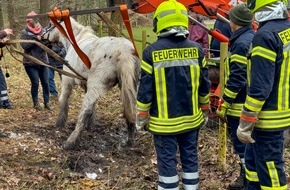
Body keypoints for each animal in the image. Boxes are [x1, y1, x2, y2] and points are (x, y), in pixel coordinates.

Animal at [43, 17, 141, 150]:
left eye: (49, 25)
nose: (41, 35)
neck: (77, 39)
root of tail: (124, 51)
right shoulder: (86, 85)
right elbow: (94, 106)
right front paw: (90, 125)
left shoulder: (67, 80)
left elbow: (64, 100)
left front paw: (60, 123)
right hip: (128, 86)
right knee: (131, 108)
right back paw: (129, 141)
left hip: (96, 84)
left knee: (86, 110)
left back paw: (71, 141)